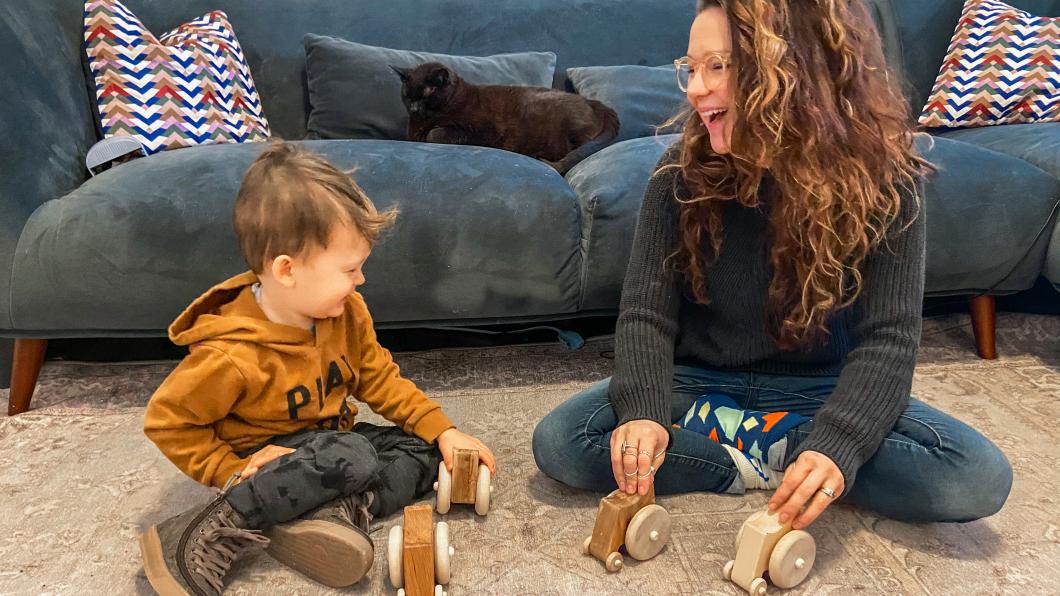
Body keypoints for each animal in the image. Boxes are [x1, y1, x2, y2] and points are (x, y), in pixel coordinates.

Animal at [392, 62, 619, 173]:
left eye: (428, 92)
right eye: (407, 94)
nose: (414, 107)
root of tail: (593, 101)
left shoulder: (477, 130)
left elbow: (435, 133)